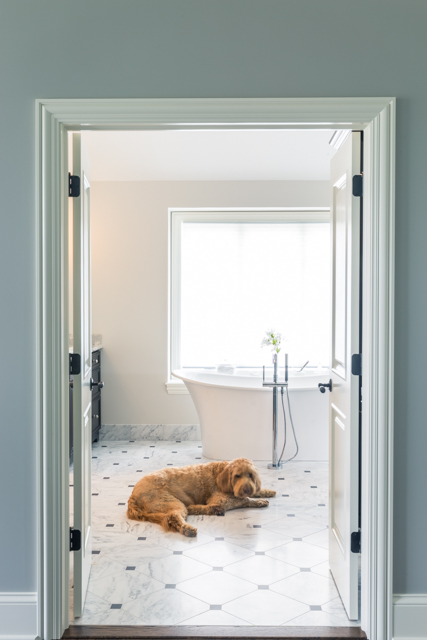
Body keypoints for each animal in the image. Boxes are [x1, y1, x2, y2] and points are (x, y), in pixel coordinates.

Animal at [127, 458, 278, 536]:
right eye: (237, 476)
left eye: (250, 475)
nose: (246, 489)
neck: (221, 473)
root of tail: (133, 496)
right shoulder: (220, 498)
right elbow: (244, 499)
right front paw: (259, 501)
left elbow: (255, 491)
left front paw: (267, 491)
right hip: (169, 501)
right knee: (174, 516)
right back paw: (188, 529)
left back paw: (212, 510)